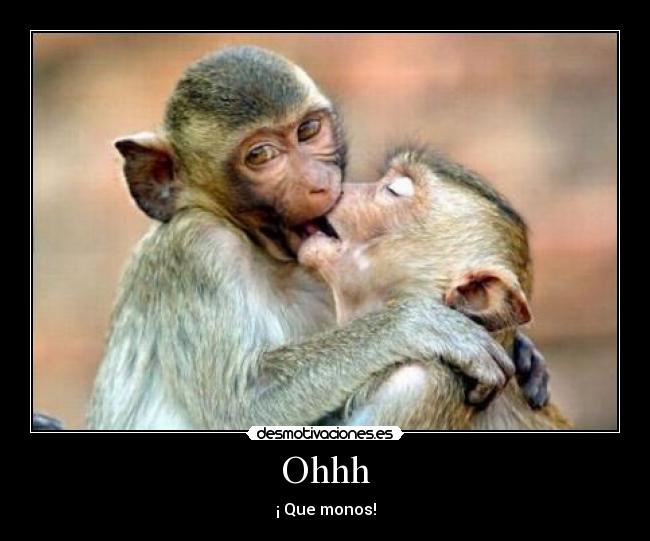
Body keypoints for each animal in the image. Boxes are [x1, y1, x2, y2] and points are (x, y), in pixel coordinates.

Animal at [86, 46, 517, 430]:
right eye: (260, 155)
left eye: (308, 131)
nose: (318, 183)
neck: (267, 253)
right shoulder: (196, 247)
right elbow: (243, 401)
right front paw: (418, 324)